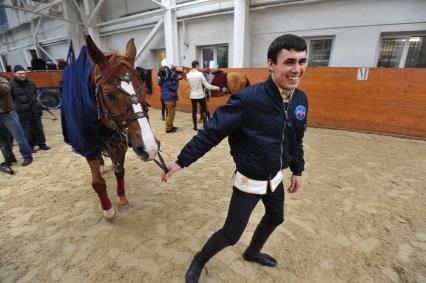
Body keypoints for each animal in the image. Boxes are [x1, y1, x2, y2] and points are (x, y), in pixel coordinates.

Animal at [62, 36, 162, 220]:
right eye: (110, 95)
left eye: (144, 88)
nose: (150, 148)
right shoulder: (88, 145)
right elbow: (97, 182)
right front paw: (108, 208)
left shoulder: (119, 143)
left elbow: (119, 171)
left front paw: (122, 198)